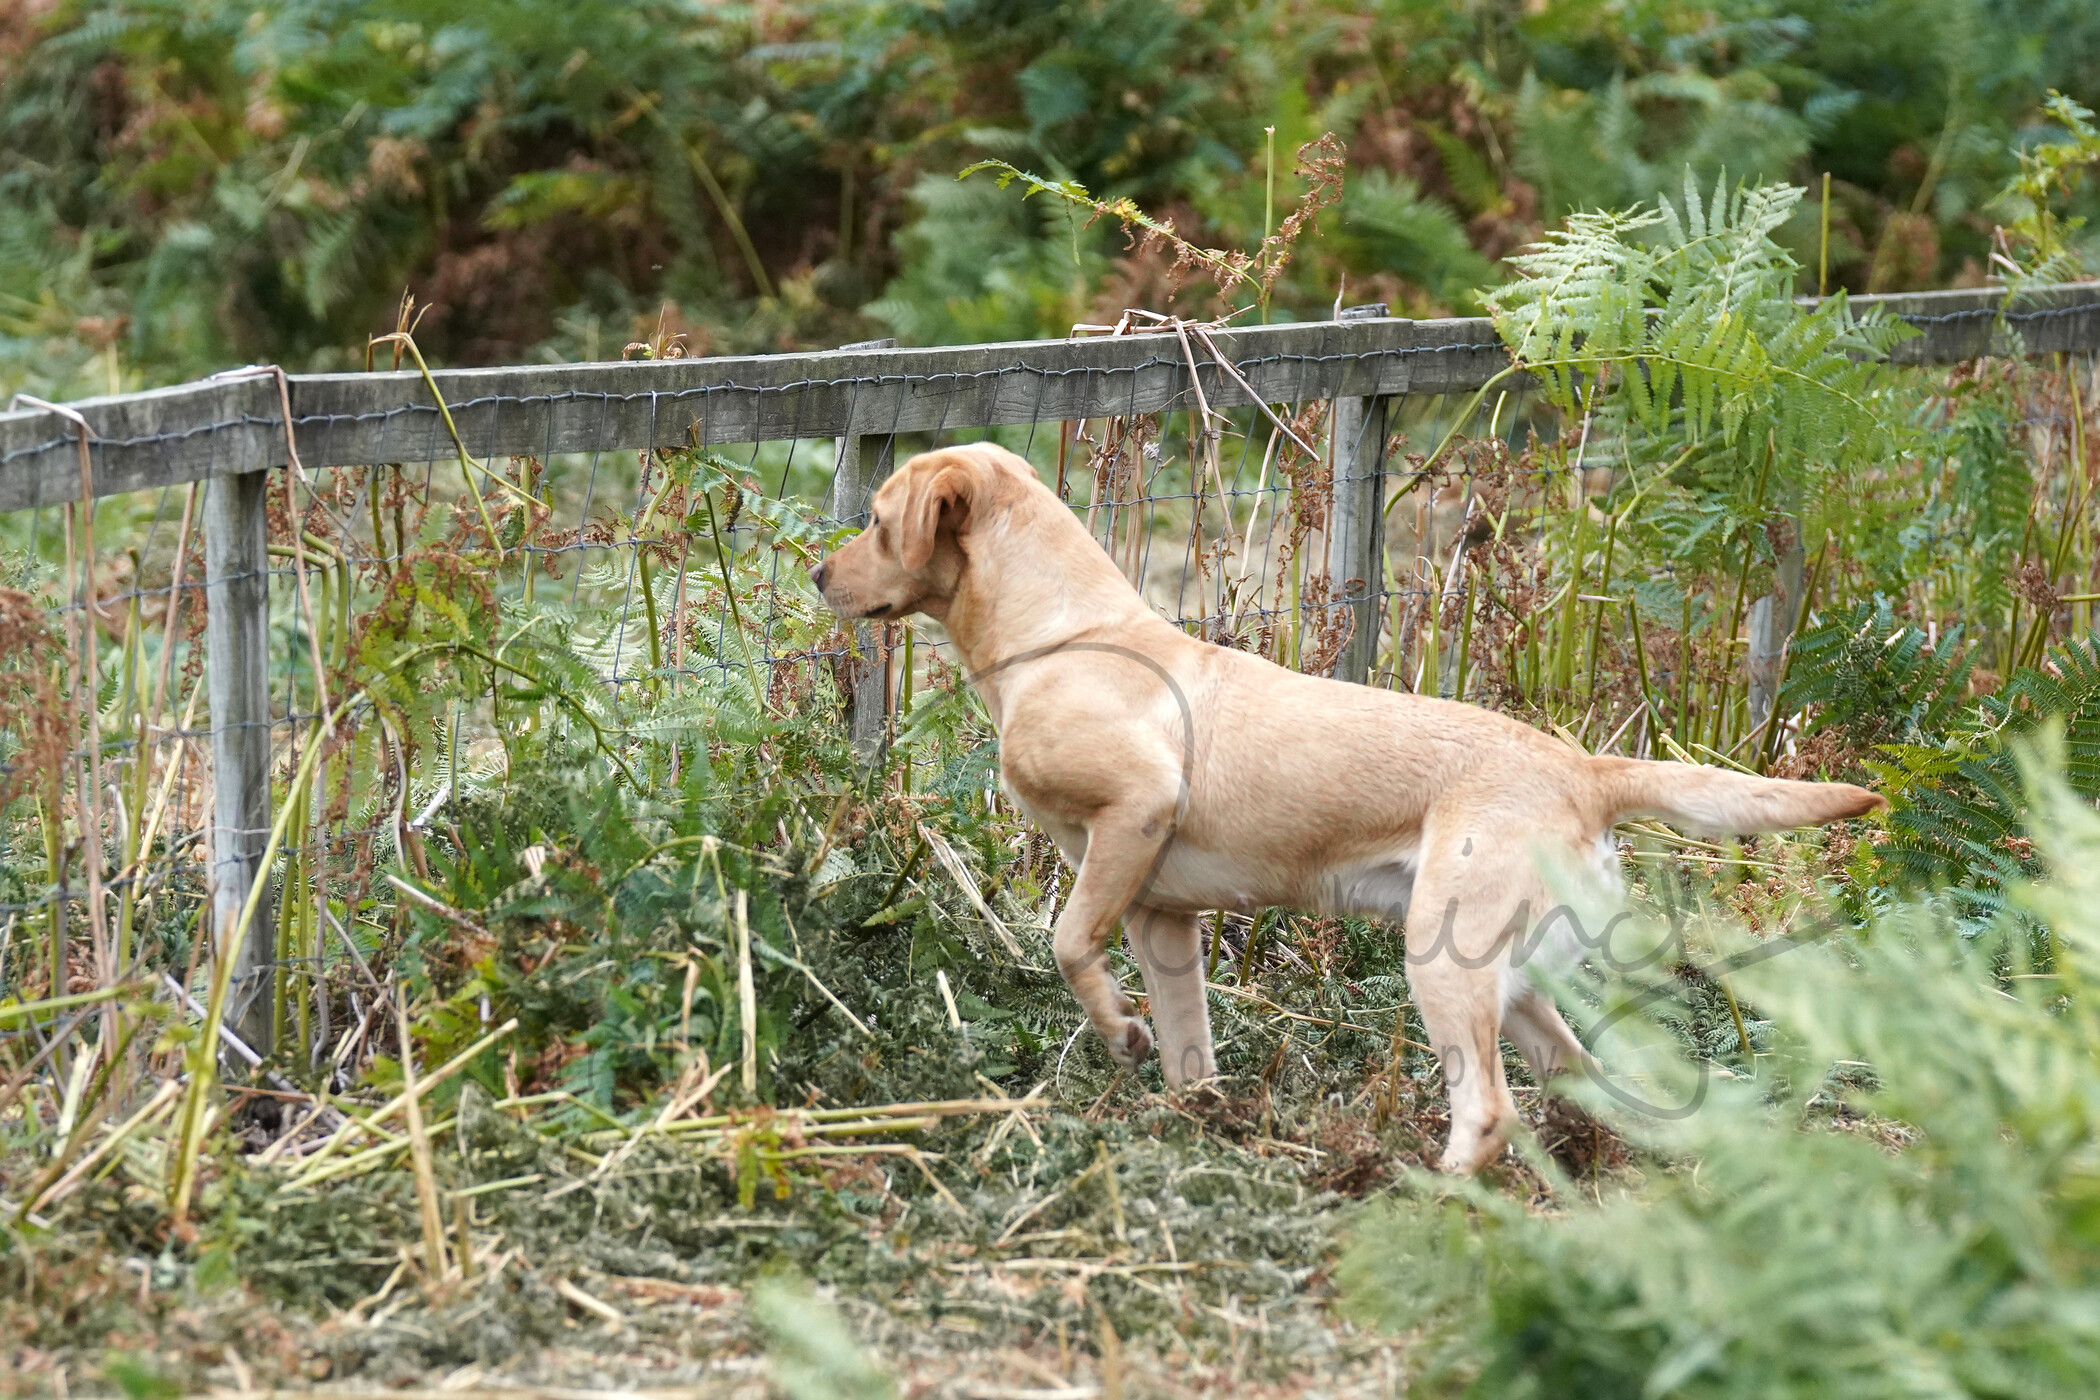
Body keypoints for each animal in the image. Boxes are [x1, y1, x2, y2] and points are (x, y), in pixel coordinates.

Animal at [810, 447, 1898, 1175]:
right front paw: (1195, 1120)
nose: (819, 572)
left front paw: (1118, 1032)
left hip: (1443, 960)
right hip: (1514, 983)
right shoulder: (1164, 916)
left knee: (1488, 1107)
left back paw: (1432, 1194)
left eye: (877, 520)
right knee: (1578, 1076)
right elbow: (1189, 1046)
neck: (1062, 638)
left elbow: (1070, 942)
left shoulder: (1136, 812)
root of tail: (1584, 769)